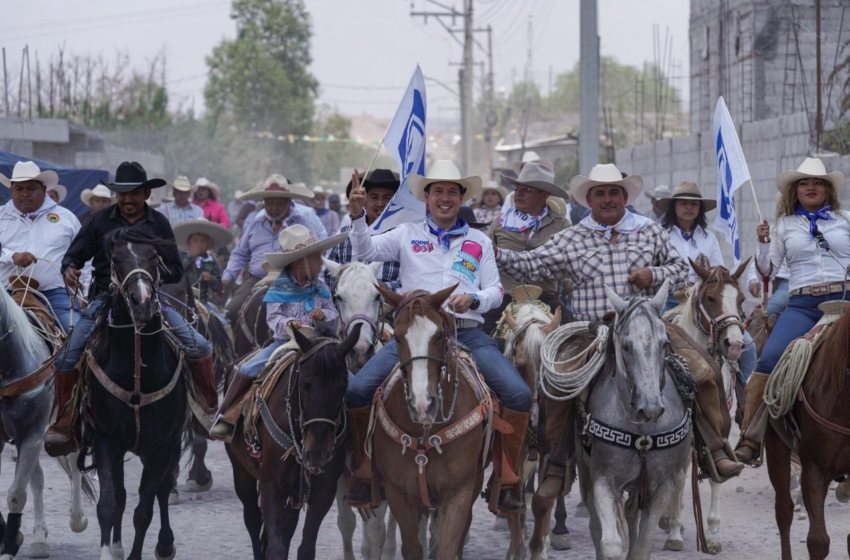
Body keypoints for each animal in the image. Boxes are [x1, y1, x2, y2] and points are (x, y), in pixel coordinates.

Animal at [79, 229, 189, 560]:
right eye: (115, 259)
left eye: (153, 256)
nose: (141, 301)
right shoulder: (106, 440)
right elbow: (109, 504)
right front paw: (108, 550)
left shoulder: (160, 447)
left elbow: (144, 510)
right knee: (122, 495)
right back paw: (117, 546)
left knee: (162, 492)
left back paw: (165, 544)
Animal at [224, 322, 360, 556]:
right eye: (304, 383)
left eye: (343, 385)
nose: (317, 452)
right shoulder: (271, 487)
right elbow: (275, 546)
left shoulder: (324, 491)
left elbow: (305, 546)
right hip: (241, 472)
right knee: (252, 518)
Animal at [372, 286, 490, 556]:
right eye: (398, 338)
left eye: (439, 336)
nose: (423, 404)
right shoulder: (398, 494)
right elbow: (413, 548)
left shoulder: (460, 492)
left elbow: (448, 548)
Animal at [572, 282, 692, 560]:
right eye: (626, 346)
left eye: (664, 343)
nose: (650, 408)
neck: (642, 431)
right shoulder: (603, 480)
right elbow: (609, 543)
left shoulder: (662, 486)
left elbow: (643, 545)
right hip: (586, 472)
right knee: (597, 524)